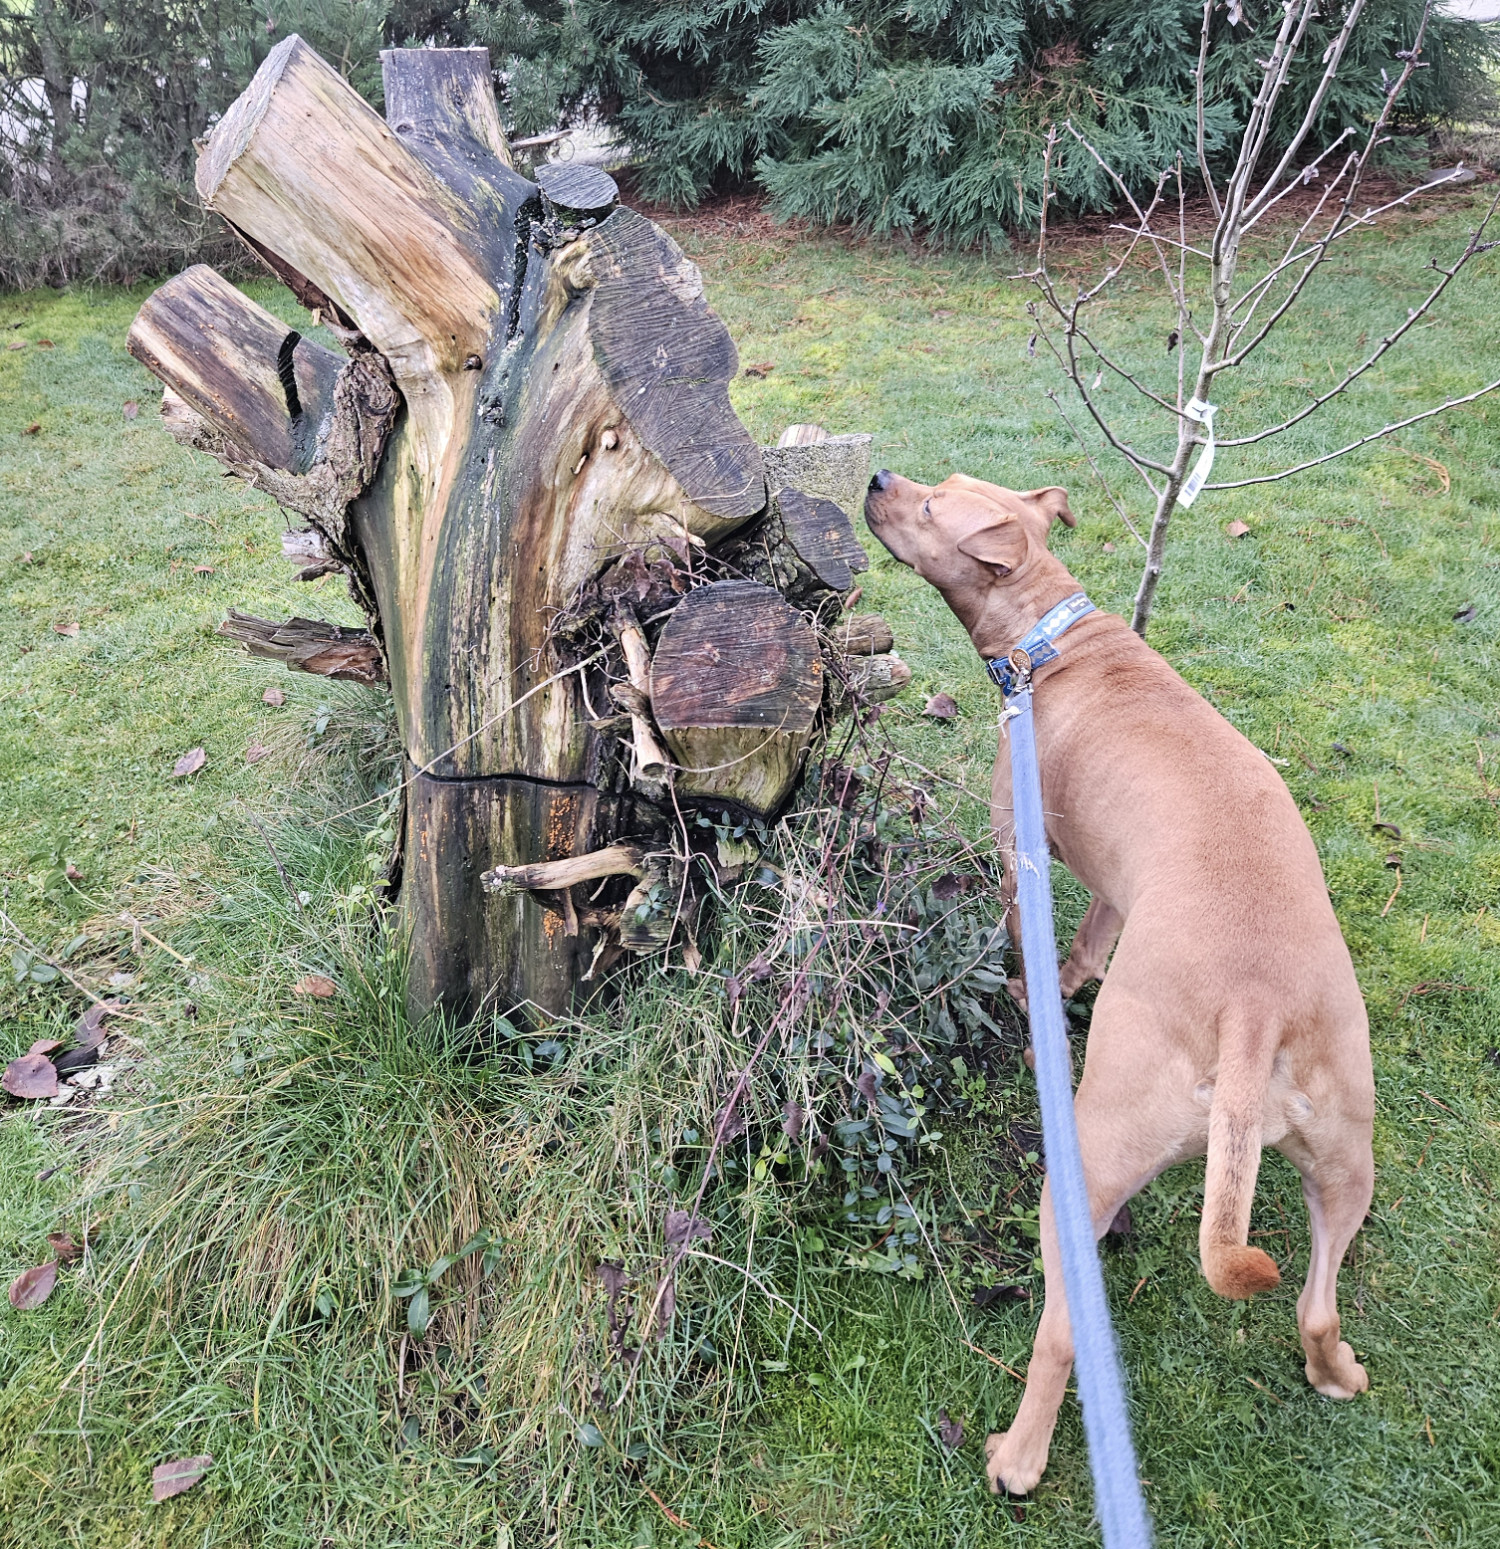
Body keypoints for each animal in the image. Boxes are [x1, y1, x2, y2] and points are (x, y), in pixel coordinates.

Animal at [861, 473, 1376, 1499]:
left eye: (933, 507)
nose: (878, 480)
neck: (1050, 633)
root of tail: (1253, 1010)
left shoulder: (1021, 854)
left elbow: (1023, 941)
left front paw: (1027, 994)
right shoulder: (1105, 887)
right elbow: (1089, 945)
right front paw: (1062, 982)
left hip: (1086, 1169)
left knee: (1062, 1337)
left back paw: (1017, 1460)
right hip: (1347, 1157)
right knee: (1318, 1302)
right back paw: (1336, 1371)